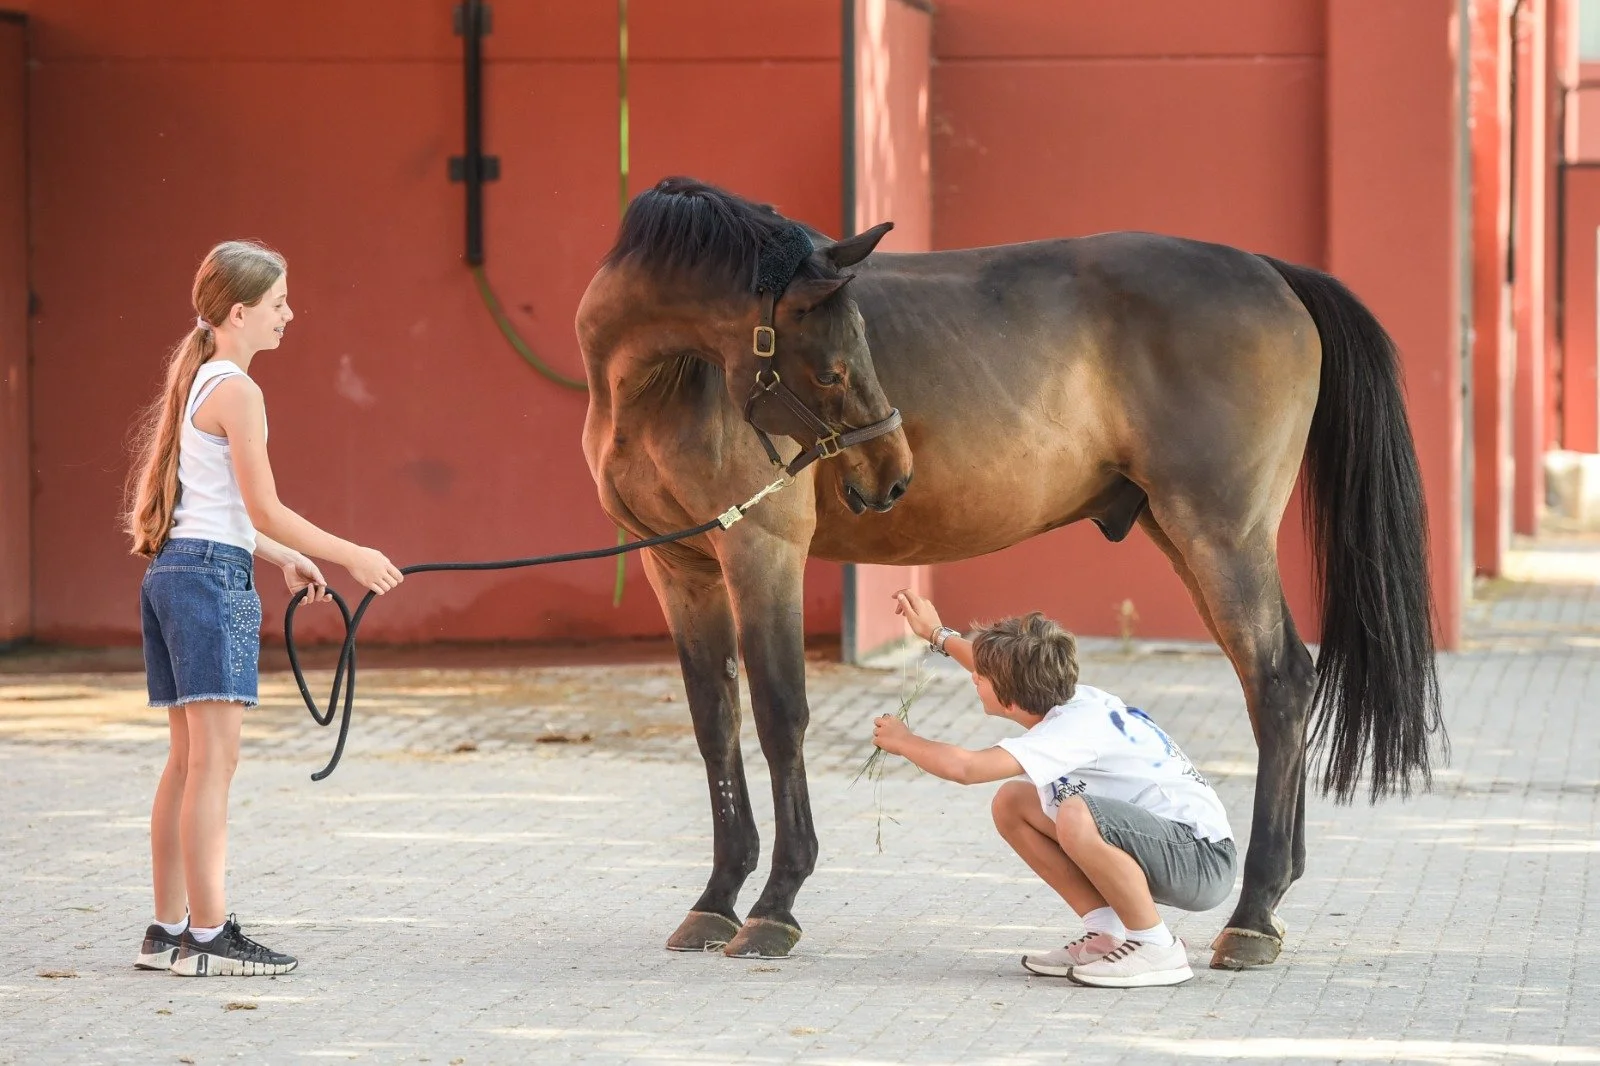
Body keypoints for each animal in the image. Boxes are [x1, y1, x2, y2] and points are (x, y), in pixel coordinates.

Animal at [576, 177, 1443, 968]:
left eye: (850, 357)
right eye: (830, 368)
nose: (892, 475)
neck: (661, 385)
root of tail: (1270, 271)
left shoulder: (762, 552)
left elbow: (779, 716)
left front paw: (774, 905)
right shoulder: (678, 565)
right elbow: (715, 724)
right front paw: (716, 900)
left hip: (1221, 535)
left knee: (1278, 678)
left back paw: (1254, 913)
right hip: (1184, 533)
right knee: (1281, 681)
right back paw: (1273, 896)